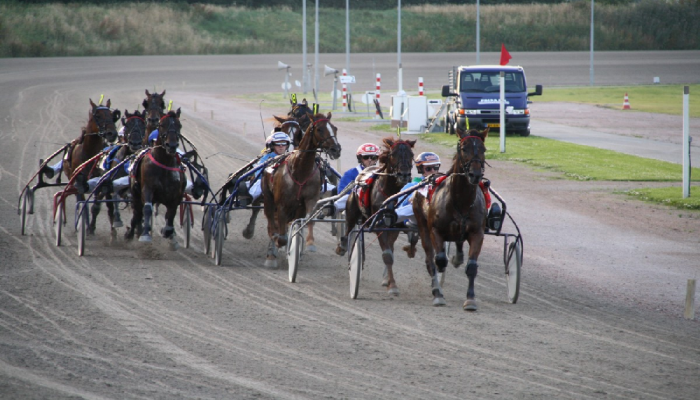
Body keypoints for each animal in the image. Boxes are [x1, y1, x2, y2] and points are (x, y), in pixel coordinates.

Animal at [126, 108, 185, 242]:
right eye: (162, 125)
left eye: (179, 125)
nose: (171, 145)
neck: (164, 163)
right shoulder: (147, 188)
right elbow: (147, 208)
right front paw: (145, 235)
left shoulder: (176, 195)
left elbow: (171, 213)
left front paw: (168, 231)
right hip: (135, 192)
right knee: (137, 211)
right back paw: (132, 232)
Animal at [262, 111, 340, 268]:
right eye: (319, 129)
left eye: (334, 128)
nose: (336, 149)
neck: (299, 170)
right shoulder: (282, 205)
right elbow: (281, 235)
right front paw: (279, 246)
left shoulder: (309, 200)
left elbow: (308, 220)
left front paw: (306, 245)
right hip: (268, 200)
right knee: (271, 224)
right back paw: (271, 254)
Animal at [334, 136, 416, 296]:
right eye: (393, 154)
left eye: (411, 155)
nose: (404, 175)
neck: (390, 193)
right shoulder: (380, 226)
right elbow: (387, 255)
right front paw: (393, 286)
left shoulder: (393, 227)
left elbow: (390, 252)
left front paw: (389, 282)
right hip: (352, 210)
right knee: (348, 230)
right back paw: (342, 246)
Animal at [412, 127, 490, 310]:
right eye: (463, 148)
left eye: (483, 149)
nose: (475, 174)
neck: (461, 201)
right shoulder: (435, 230)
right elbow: (439, 260)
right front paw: (438, 293)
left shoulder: (477, 232)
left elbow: (472, 266)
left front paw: (470, 299)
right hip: (422, 225)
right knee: (430, 260)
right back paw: (437, 289)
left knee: (458, 244)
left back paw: (457, 258)